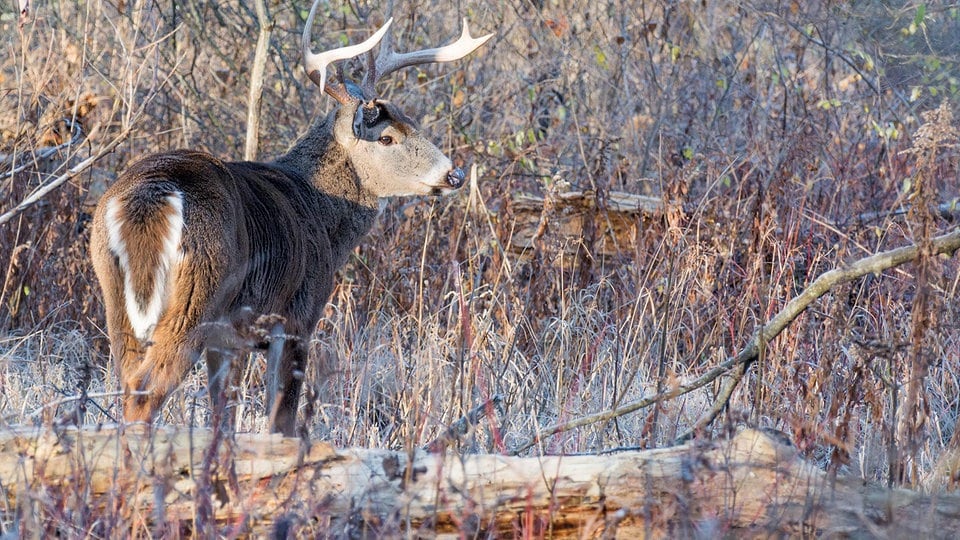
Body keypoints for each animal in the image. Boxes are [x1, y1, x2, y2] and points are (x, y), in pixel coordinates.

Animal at [88, 0, 496, 436]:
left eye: (412, 122)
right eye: (387, 138)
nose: (454, 174)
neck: (319, 209)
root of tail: (152, 195)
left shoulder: (229, 339)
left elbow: (224, 420)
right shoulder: (297, 318)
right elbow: (280, 421)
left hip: (115, 295)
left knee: (128, 382)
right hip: (198, 291)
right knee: (146, 392)